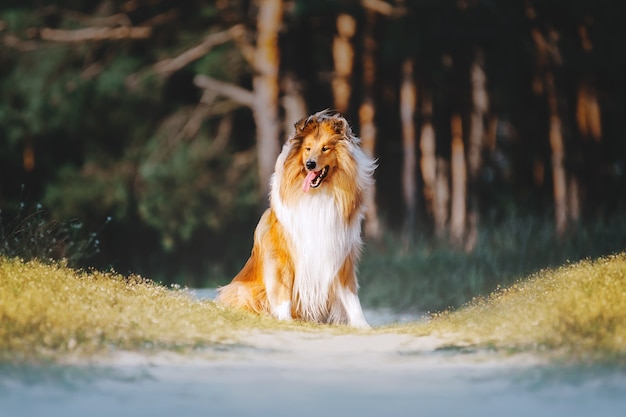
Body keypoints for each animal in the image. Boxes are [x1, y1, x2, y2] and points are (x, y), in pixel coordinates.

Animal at [214, 110, 376, 328]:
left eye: (325, 148)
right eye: (307, 149)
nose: (310, 164)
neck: (318, 195)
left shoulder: (339, 255)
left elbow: (351, 295)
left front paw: (362, 325)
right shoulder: (283, 256)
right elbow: (283, 291)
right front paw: (284, 319)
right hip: (243, 289)